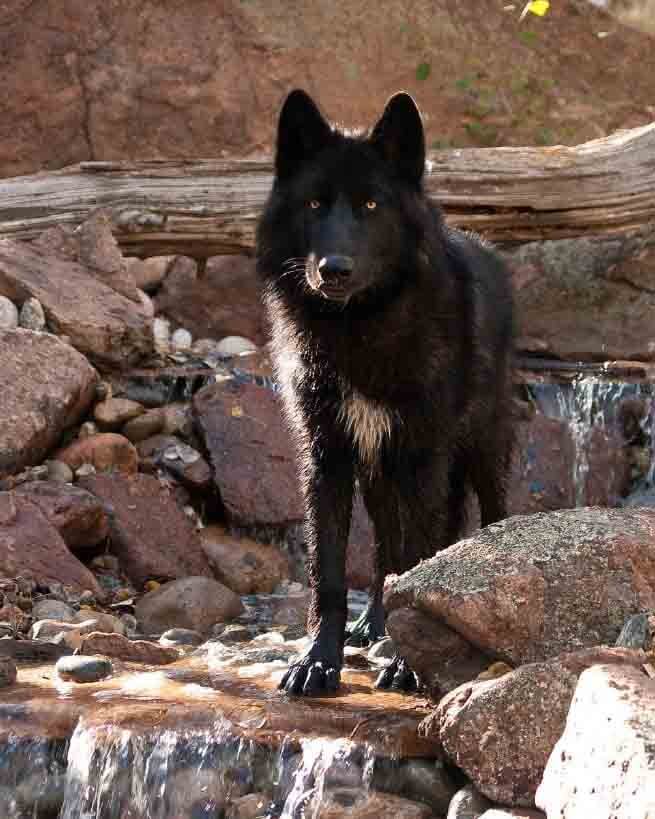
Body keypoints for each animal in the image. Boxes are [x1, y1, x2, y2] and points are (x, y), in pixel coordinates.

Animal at [256, 89, 514, 696]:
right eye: (315, 205)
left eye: (372, 205)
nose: (334, 269)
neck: (358, 332)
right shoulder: (326, 457)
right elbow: (329, 573)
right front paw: (318, 661)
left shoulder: (422, 458)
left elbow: (418, 555)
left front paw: (405, 663)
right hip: (377, 473)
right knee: (382, 553)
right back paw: (372, 623)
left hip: (477, 452)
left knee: (481, 518)